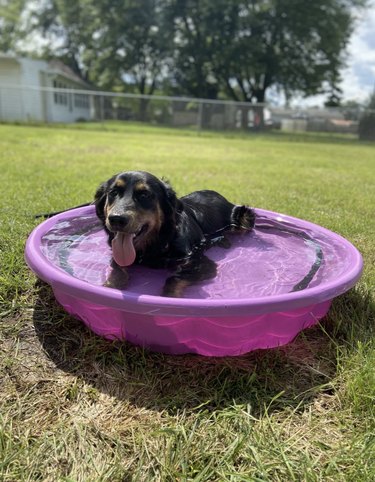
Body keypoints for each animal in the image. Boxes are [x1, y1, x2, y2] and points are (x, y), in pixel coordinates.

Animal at [95, 169, 258, 298]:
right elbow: (118, 270)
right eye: (113, 192)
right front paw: (111, 286)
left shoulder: (200, 263)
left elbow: (174, 278)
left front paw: (169, 297)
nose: (116, 219)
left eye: (144, 195)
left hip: (245, 215)